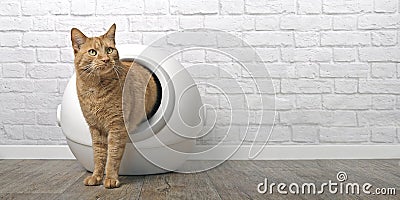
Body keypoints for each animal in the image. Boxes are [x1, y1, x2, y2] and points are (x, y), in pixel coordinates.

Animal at [71, 24, 160, 188]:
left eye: (109, 50)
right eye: (92, 52)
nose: (106, 59)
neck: (96, 89)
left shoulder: (117, 125)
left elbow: (113, 154)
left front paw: (111, 178)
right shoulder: (95, 128)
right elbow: (98, 154)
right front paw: (96, 176)